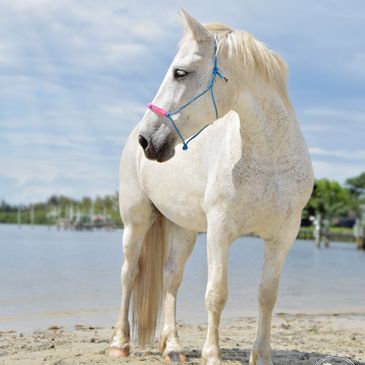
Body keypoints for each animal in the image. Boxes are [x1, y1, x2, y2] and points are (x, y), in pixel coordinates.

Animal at [109, 9, 312, 364]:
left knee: (170, 278)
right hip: (136, 221)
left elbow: (267, 295)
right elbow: (216, 294)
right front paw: (212, 356)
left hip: (182, 229)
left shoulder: (283, 237)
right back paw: (120, 343)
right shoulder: (220, 231)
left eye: (180, 72)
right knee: (129, 274)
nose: (148, 140)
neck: (269, 163)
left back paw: (172, 347)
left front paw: (262, 355)